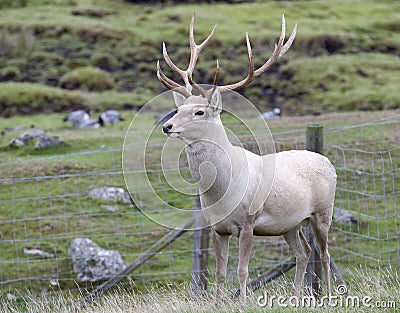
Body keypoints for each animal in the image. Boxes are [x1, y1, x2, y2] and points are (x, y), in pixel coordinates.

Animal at [157, 14, 338, 302]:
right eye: (179, 108)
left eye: (199, 112)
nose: (167, 126)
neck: (221, 193)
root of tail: (328, 163)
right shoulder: (216, 228)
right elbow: (220, 272)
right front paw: (217, 304)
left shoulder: (249, 222)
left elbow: (242, 270)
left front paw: (242, 301)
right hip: (291, 224)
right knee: (303, 252)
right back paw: (295, 297)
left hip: (323, 212)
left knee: (324, 253)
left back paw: (329, 297)